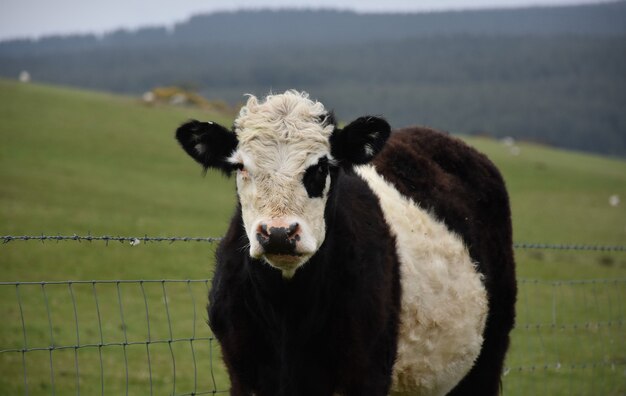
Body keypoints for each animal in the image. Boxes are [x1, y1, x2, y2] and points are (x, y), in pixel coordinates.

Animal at [173, 90, 516, 396]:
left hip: (489, 354)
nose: (279, 233)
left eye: (322, 166)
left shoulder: (366, 373)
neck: (287, 313)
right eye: (241, 166)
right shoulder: (243, 374)